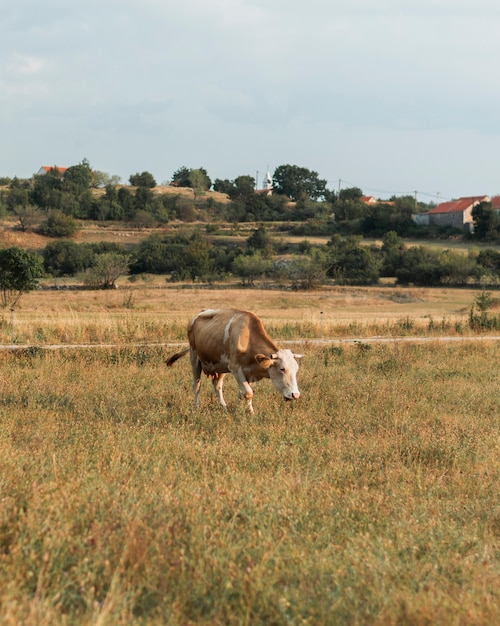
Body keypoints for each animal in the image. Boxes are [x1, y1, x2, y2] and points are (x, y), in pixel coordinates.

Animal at [166, 306, 302, 410]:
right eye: (282, 369)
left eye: (296, 370)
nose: (295, 395)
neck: (247, 339)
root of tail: (200, 313)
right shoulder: (236, 369)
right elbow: (248, 393)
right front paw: (250, 413)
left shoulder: (249, 372)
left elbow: (243, 393)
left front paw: (239, 410)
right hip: (194, 358)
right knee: (196, 386)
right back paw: (195, 407)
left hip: (220, 366)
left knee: (217, 386)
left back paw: (223, 406)